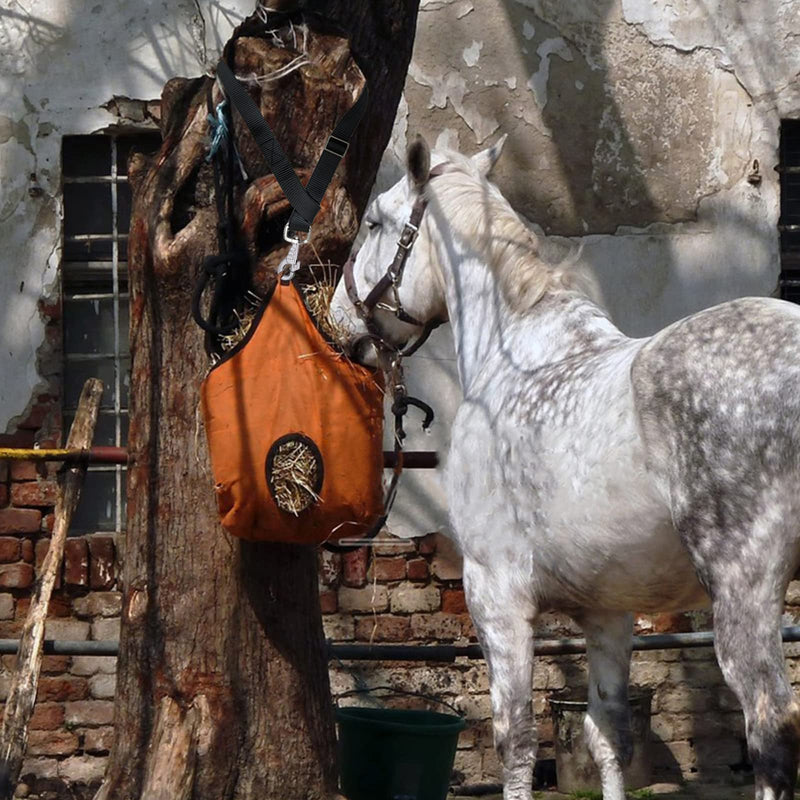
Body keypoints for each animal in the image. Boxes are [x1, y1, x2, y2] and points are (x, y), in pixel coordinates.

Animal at [328, 135, 800, 800]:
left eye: (373, 222)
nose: (341, 324)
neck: (514, 353)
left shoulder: (495, 595)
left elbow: (517, 742)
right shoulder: (609, 612)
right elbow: (609, 740)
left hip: (743, 592)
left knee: (771, 737)